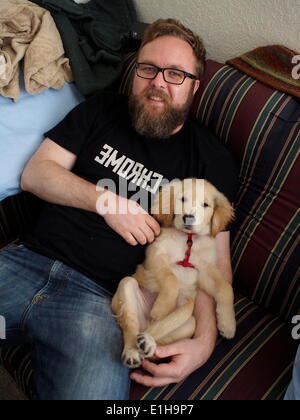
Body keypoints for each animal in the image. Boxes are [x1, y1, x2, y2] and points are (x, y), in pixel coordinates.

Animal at [112, 178, 237, 368]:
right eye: (182, 199)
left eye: (205, 205)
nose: (188, 218)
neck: (188, 239)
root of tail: (144, 323)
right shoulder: (156, 254)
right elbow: (171, 279)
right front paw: (162, 308)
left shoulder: (205, 270)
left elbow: (226, 288)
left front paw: (228, 324)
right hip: (127, 285)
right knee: (130, 326)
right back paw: (133, 351)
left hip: (188, 318)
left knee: (157, 337)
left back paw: (148, 343)